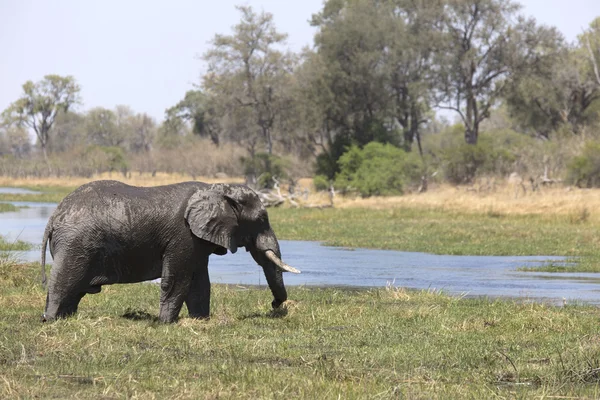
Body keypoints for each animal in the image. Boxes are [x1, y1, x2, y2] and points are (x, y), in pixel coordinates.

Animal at [39, 180, 300, 324]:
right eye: (261, 219)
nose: (275, 305)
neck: (216, 189)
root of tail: (54, 216)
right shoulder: (183, 235)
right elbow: (177, 280)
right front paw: (166, 324)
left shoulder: (196, 240)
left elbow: (199, 283)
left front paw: (201, 321)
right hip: (75, 244)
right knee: (64, 282)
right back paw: (50, 320)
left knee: (74, 289)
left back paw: (65, 318)